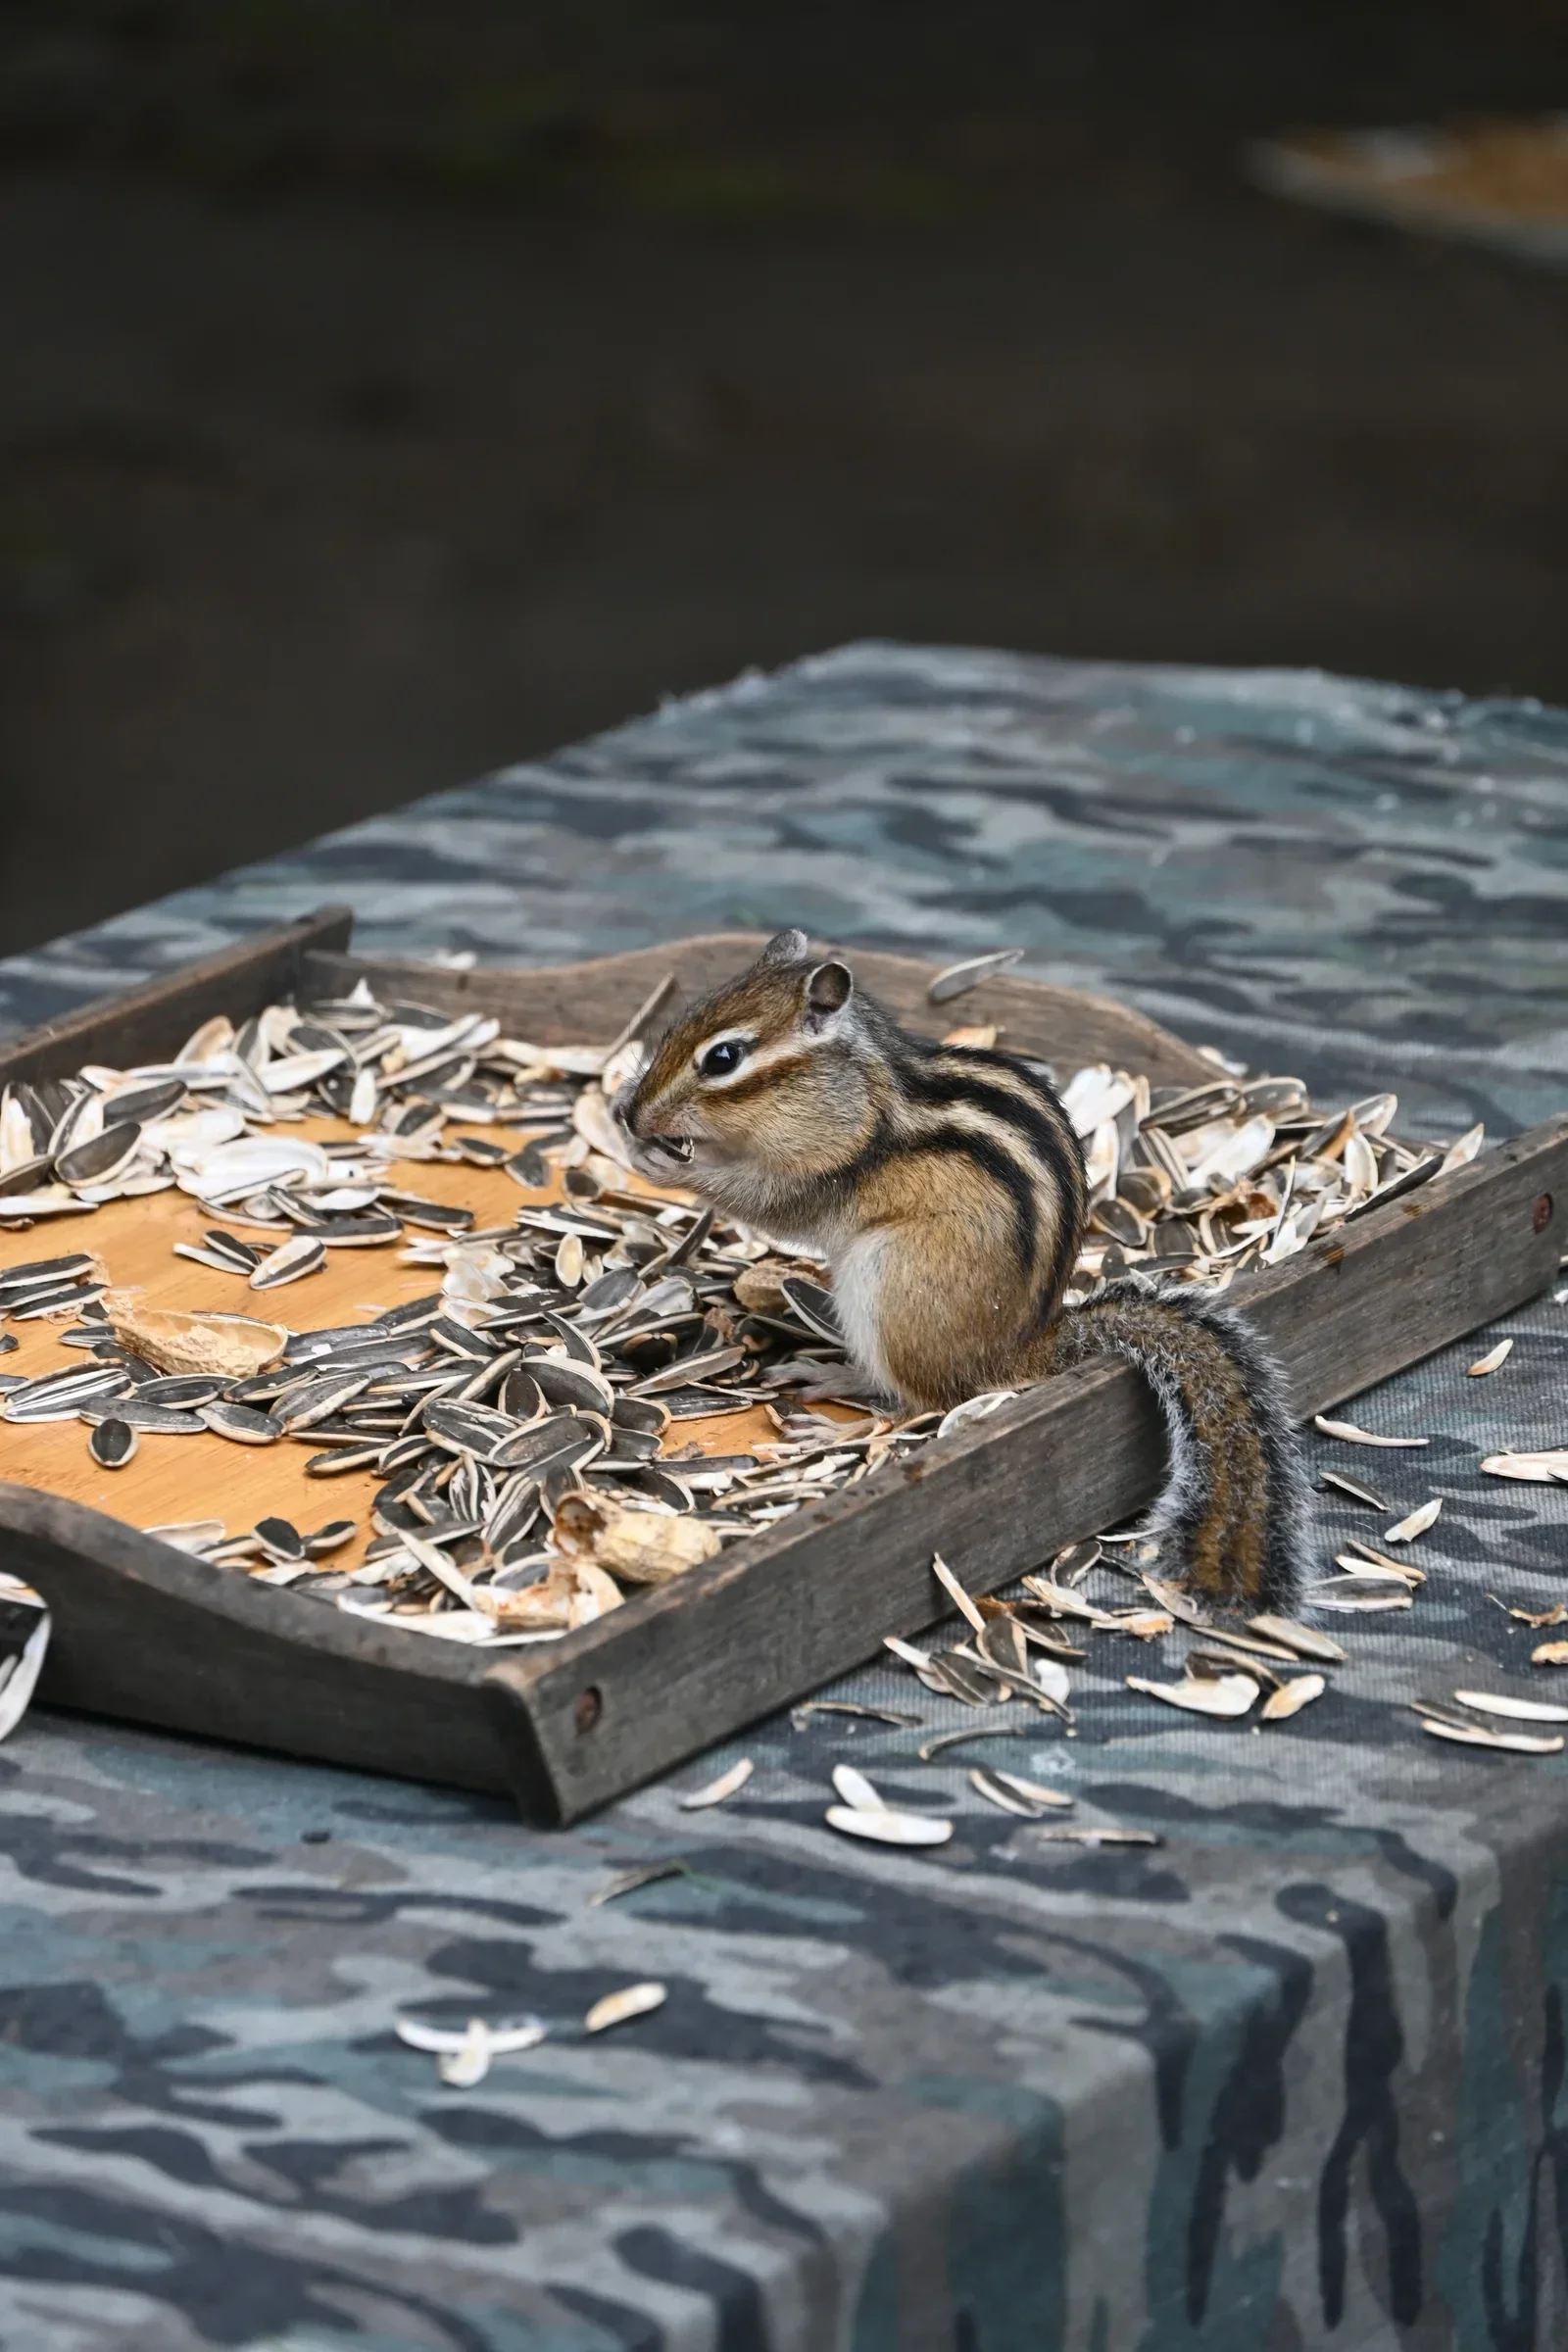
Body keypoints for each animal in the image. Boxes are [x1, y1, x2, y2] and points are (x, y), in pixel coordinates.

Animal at [616, 929, 1307, 1614]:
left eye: (723, 1058)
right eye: (679, 1023)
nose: (636, 1115)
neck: (850, 1089)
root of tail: (1023, 1351)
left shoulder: (827, 1163)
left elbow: (763, 1200)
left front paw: (666, 1164)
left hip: (886, 1284)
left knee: (921, 1405)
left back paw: (832, 1414)